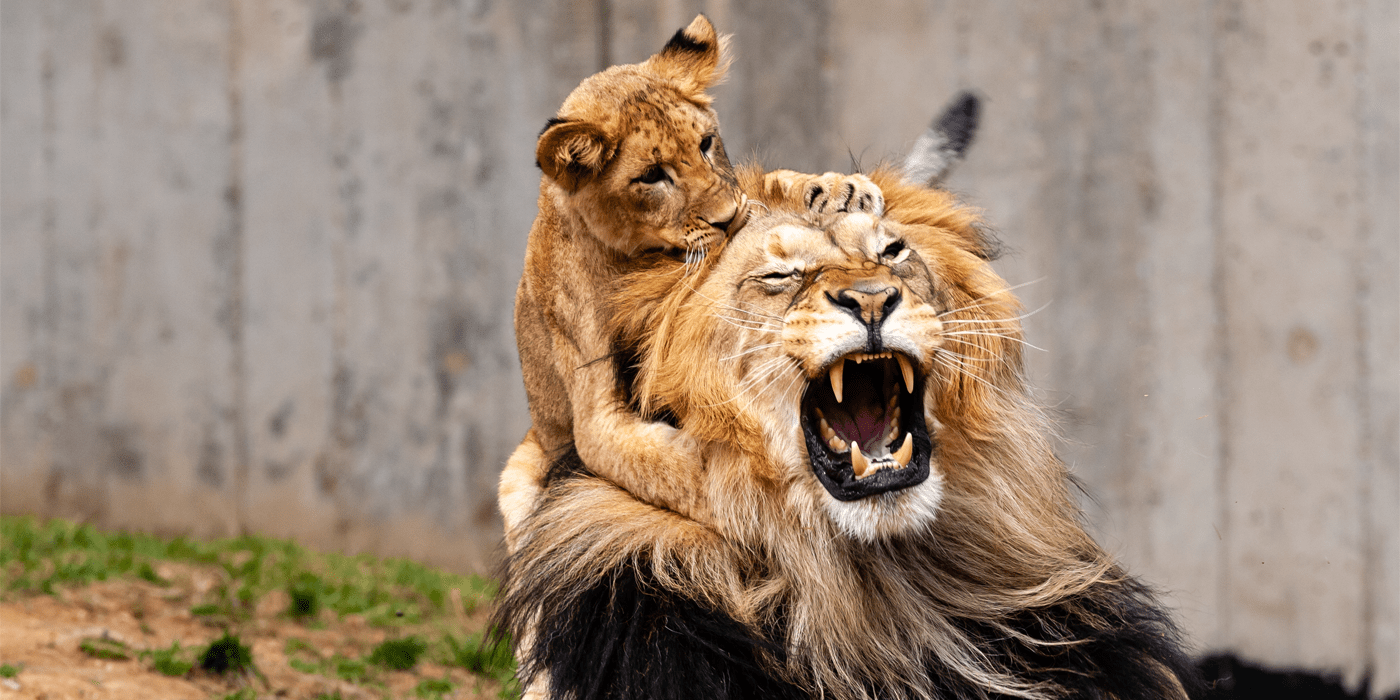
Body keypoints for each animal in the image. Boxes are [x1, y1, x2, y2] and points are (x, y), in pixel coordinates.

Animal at [508, 13, 884, 546]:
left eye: (706, 144)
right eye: (651, 176)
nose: (728, 220)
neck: (638, 254)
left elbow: (763, 181)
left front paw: (838, 189)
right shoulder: (594, 418)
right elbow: (671, 468)